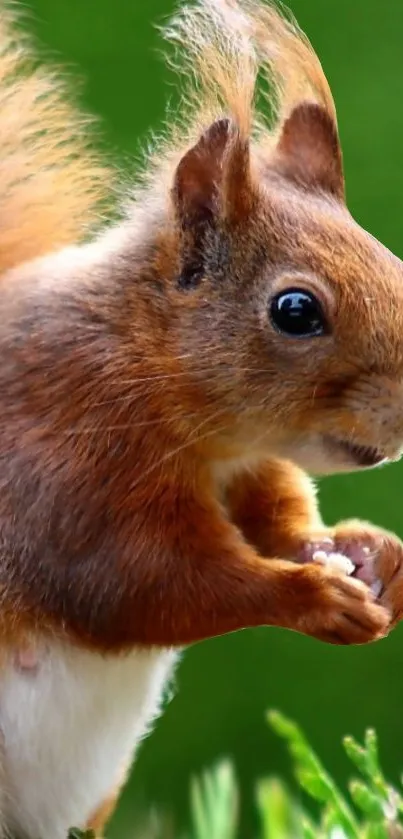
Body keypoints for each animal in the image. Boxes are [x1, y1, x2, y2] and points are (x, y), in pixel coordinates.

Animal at [0, 0, 403, 836]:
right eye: (295, 311)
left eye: (392, 263)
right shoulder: (63, 463)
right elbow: (138, 583)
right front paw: (308, 596)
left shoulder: (251, 468)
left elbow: (279, 523)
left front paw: (370, 553)